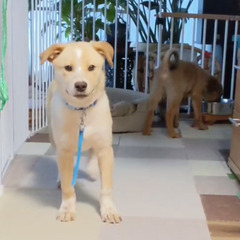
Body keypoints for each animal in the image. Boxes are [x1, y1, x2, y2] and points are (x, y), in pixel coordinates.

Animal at [40, 41, 122, 223]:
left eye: (91, 67)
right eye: (68, 68)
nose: (80, 85)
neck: (82, 110)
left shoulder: (105, 148)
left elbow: (106, 187)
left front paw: (109, 210)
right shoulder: (64, 150)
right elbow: (67, 187)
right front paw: (66, 209)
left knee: (92, 152)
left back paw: (92, 170)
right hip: (53, 137)